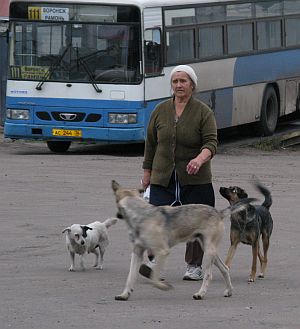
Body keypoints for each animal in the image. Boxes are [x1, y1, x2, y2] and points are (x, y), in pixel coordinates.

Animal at [111, 179, 256, 300]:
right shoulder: (137, 253)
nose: (117, 215)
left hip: (209, 252)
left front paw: (164, 286)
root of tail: (218, 213)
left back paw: (200, 294)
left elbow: (153, 278)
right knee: (225, 268)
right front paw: (124, 294)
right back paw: (229, 291)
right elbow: (130, 277)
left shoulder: (162, 251)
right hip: (209, 250)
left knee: (209, 275)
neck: (140, 214)